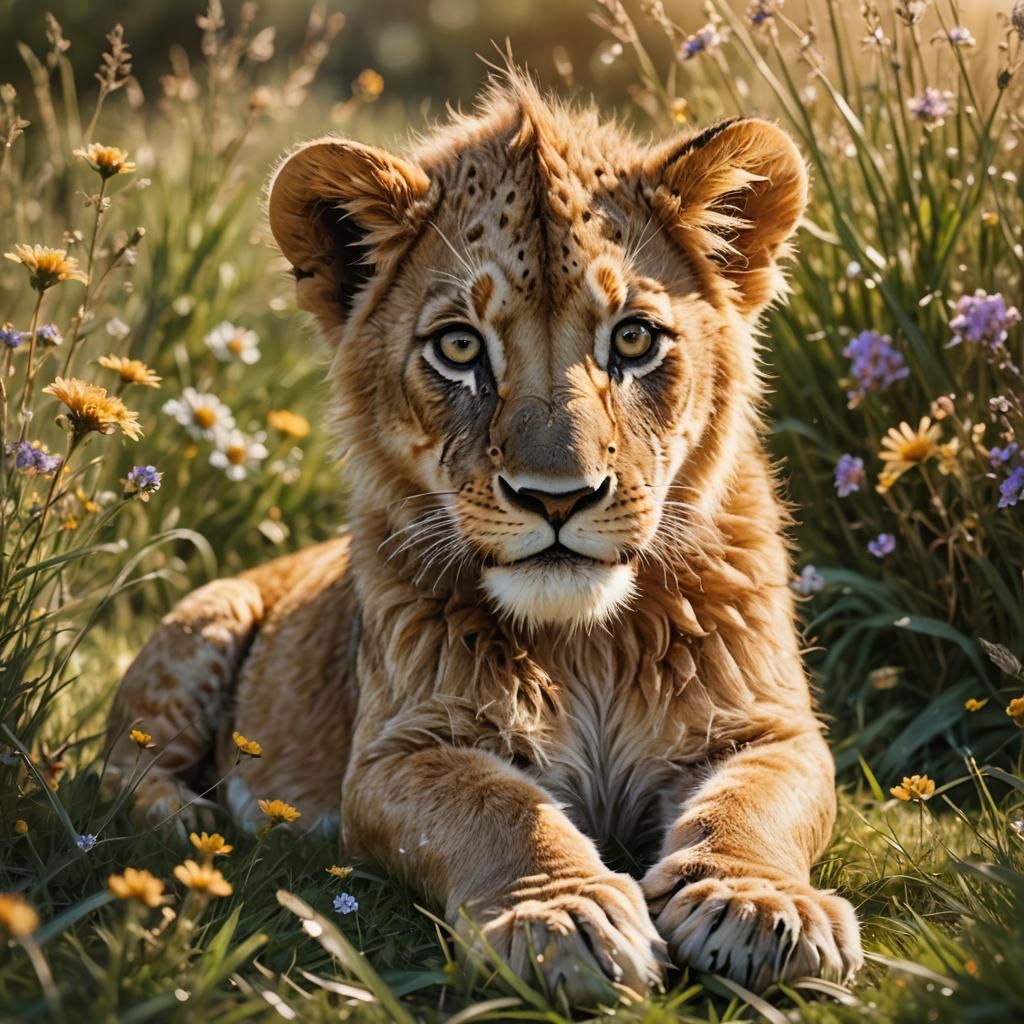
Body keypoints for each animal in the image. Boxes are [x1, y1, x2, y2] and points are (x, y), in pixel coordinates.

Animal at [106, 73, 863, 1002]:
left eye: (634, 337)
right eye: (460, 346)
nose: (558, 498)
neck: (587, 643)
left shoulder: (772, 727)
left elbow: (753, 803)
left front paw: (758, 903)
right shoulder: (400, 751)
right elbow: (499, 811)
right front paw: (564, 916)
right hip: (204, 621)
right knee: (119, 771)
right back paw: (191, 820)